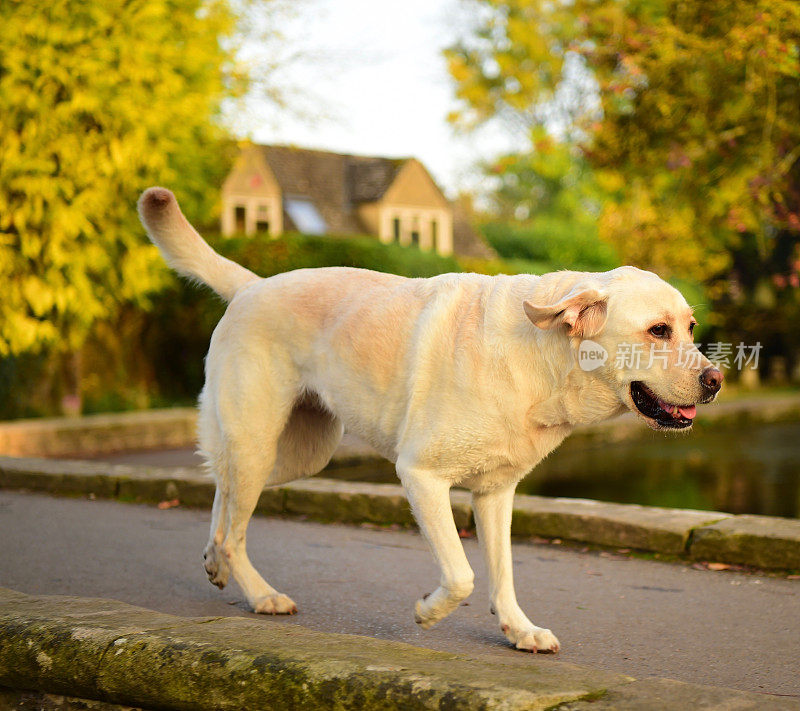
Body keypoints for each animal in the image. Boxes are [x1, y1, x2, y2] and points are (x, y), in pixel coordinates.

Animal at [139, 186, 724, 652]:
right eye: (658, 331)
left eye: (692, 327)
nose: (716, 380)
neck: (542, 362)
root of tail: (252, 285)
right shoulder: (420, 476)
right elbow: (463, 575)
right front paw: (427, 611)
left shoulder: (496, 493)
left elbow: (503, 572)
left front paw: (518, 630)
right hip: (262, 442)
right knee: (234, 521)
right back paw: (261, 594)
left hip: (295, 456)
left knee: (223, 490)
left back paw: (214, 563)